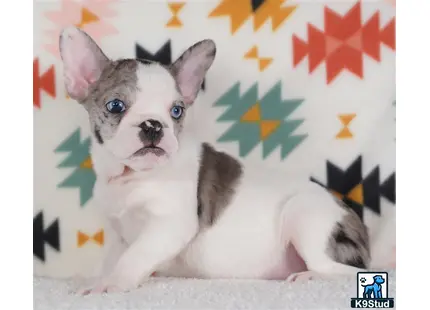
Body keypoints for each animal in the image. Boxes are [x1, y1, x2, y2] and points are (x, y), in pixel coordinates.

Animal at [58, 26, 372, 294]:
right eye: (115, 106)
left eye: (176, 111)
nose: (153, 125)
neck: (133, 175)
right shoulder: (118, 233)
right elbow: (112, 258)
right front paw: (101, 277)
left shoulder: (168, 225)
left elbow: (134, 256)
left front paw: (109, 285)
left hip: (304, 216)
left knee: (345, 271)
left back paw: (310, 276)